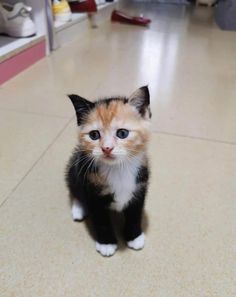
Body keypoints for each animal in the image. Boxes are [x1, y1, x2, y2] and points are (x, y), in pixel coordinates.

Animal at [65, 86, 152, 256]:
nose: (106, 148)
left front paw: (134, 237)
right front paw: (107, 244)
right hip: (74, 167)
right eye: (94, 135)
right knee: (74, 187)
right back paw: (79, 208)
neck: (118, 169)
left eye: (122, 133)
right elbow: (101, 221)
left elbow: (135, 214)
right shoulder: (92, 192)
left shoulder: (140, 186)